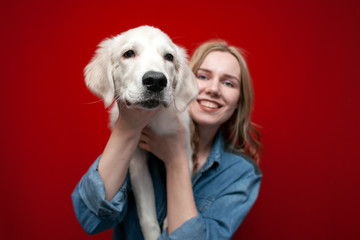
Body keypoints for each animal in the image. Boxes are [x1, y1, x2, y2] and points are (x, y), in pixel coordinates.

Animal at [83, 25, 198, 239]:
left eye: (169, 57)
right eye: (128, 53)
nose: (156, 80)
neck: (151, 120)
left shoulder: (185, 152)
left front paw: (169, 224)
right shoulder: (136, 161)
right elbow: (147, 214)